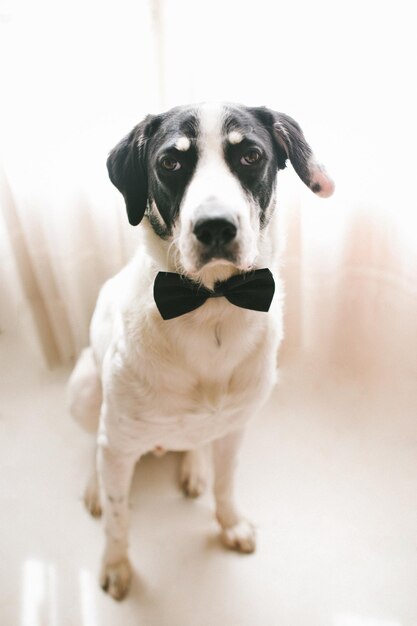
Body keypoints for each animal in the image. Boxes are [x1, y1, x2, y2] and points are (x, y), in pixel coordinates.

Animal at [69, 100, 334, 596]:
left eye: (250, 156)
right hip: (84, 391)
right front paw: (115, 563)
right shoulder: (118, 441)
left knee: (192, 442)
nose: (214, 227)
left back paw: (193, 466)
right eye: (170, 163)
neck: (211, 305)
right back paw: (95, 484)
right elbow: (117, 515)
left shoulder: (235, 429)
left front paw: (230, 524)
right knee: (94, 443)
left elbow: (226, 486)